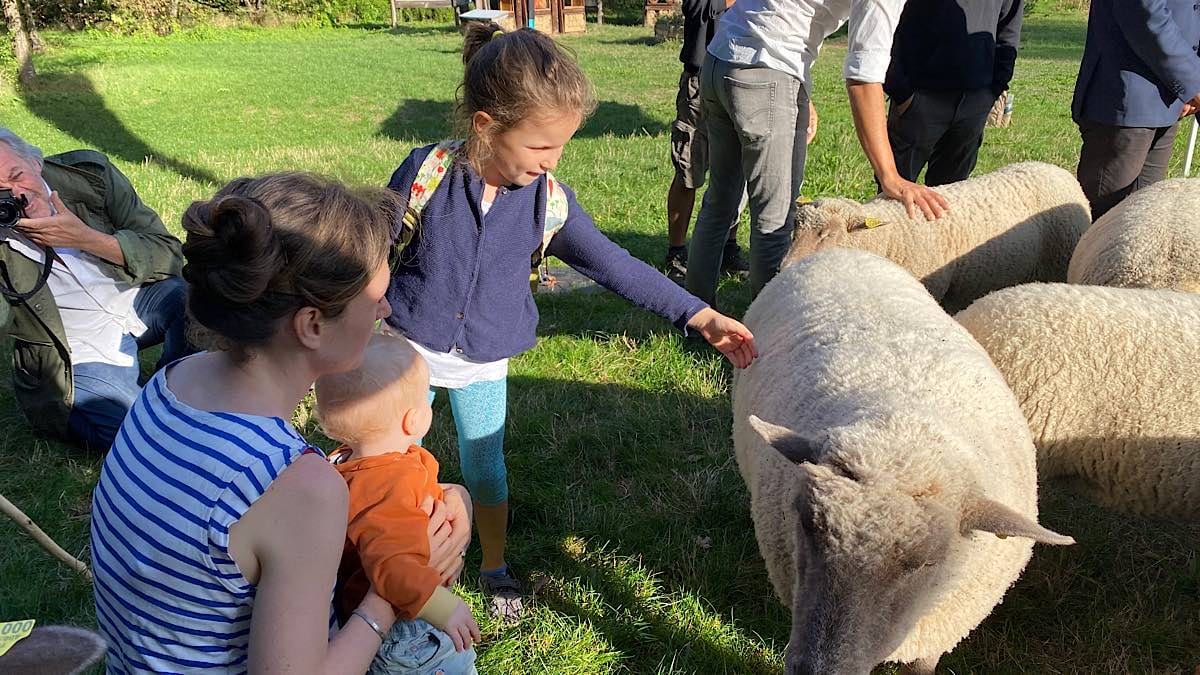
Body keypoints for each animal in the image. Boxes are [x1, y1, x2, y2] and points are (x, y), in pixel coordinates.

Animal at [734, 247, 1075, 672]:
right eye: (808, 524)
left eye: (927, 563)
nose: (817, 669)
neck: (909, 423)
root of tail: (843, 250)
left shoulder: (936, 633)